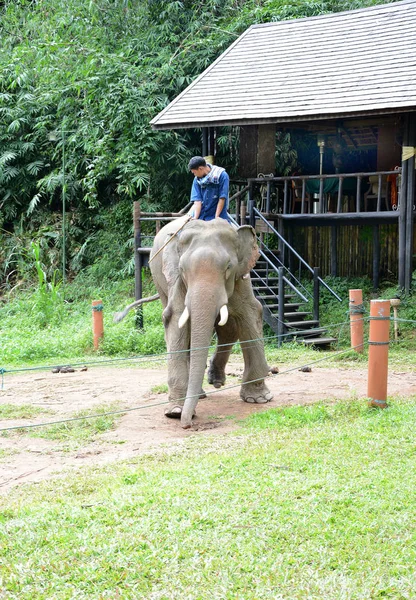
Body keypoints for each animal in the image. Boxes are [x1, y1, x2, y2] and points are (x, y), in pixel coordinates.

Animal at [115, 218, 272, 428]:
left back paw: (214, 383)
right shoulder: (177, 281)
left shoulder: (242, 276)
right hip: (159, 278)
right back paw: (200, 394)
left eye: (228, 267)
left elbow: (250, 312)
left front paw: (258, 399)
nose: (187, 424)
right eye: (183, 270)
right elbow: (175, 319)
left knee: (228, 327)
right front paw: (175, 411)